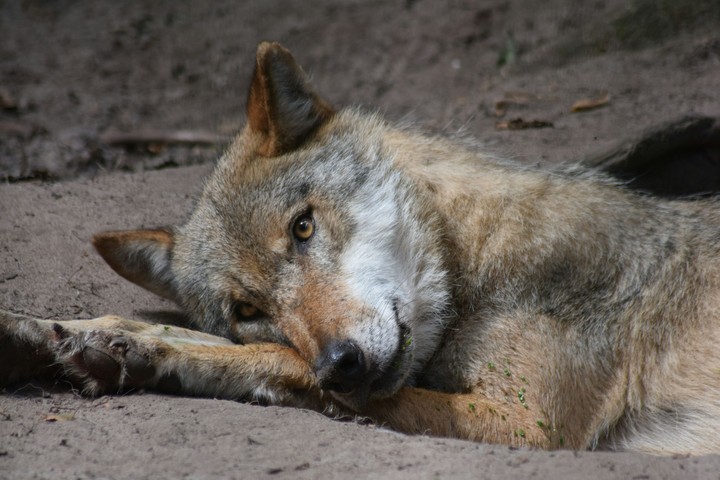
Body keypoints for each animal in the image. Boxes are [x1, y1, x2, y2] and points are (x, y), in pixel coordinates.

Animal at [2, 42, 720, 455]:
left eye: (302, 228)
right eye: (246, 310)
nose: (340, 364)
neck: (481, 256)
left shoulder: (529, 424)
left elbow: (276, 363)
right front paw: (76, 337)